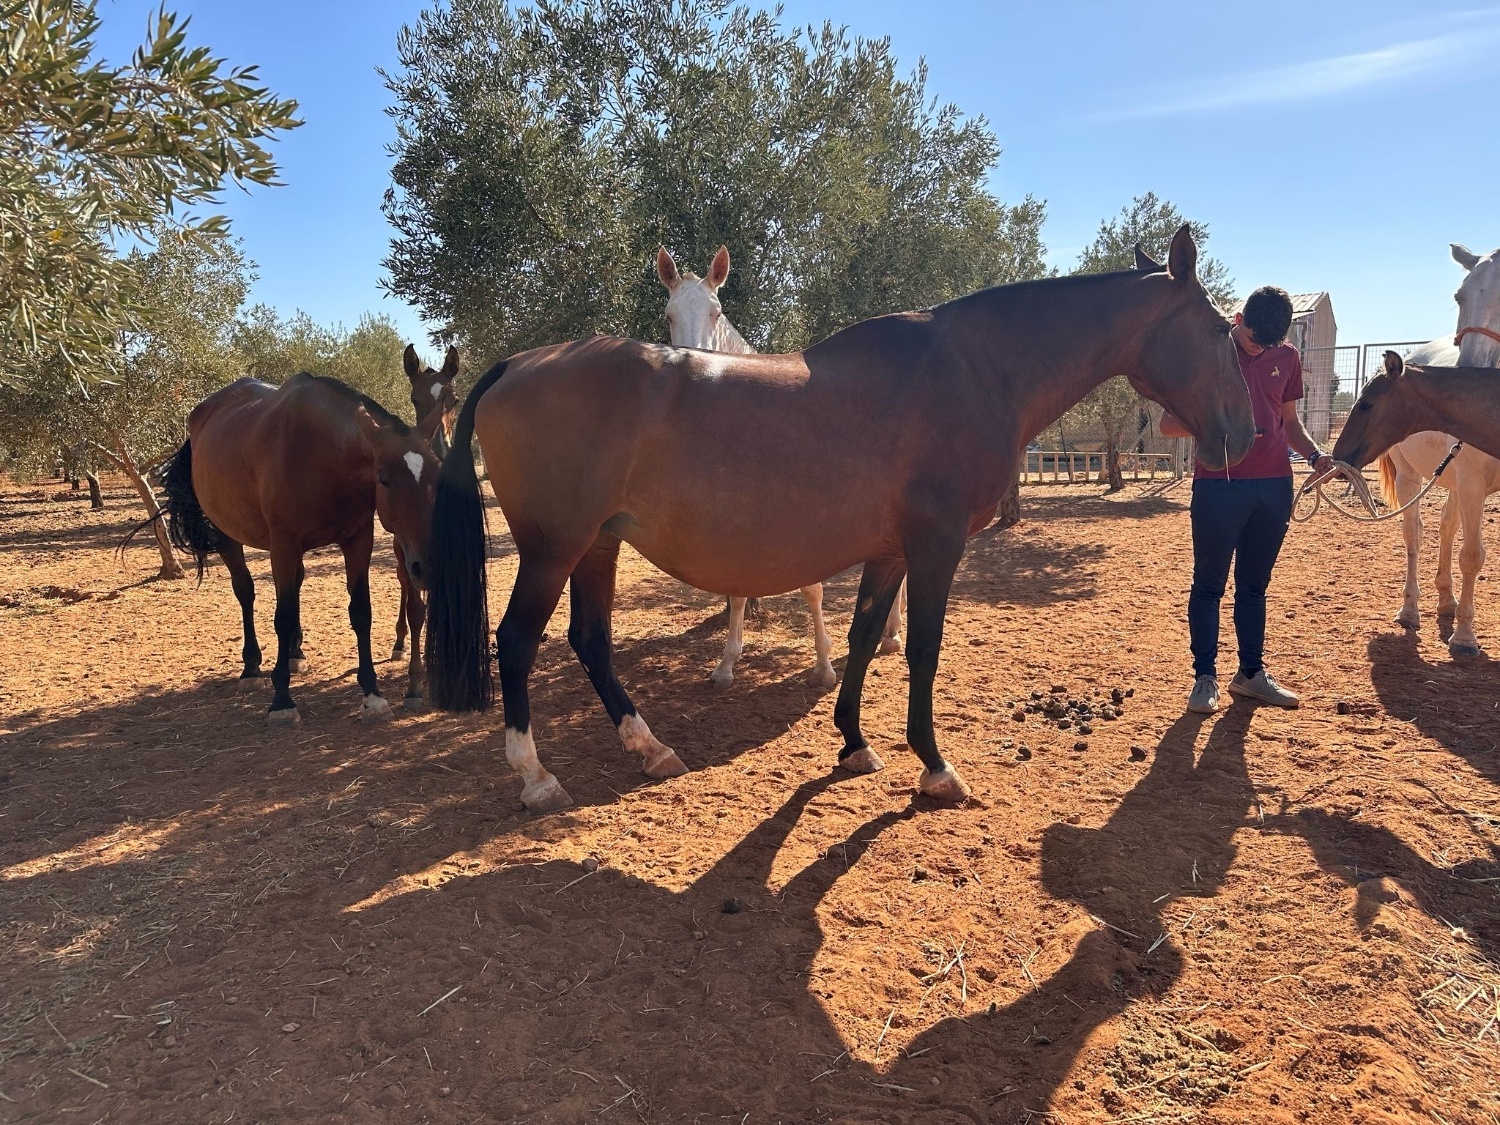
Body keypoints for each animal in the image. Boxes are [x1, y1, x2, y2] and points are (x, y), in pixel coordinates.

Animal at [159, 373, 449, 723]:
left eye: (437, 472)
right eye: (384, 480)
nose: (428, 565)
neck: (321, 452)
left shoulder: (357, 539)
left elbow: (361, 612)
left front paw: (372, 695)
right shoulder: (283, 543)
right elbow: (282, 616)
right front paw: (282, 701)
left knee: (295, 585)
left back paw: (294, 654)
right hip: (228, 535)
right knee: (245, 591)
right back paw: (251, 669)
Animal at [656, 245, 904, 688]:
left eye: (716, 312)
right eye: (669, 314)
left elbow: (812, 590)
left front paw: (824, 667)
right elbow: (737, 591)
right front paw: (726, 665)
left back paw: (892, 636)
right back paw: (890, 632)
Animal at [1374, 244, 1500, 653]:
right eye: (1459, 296)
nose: (1468, 374)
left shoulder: (1470, 484)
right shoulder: (1473, 482)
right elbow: (1473, 555)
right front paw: (1464, 638)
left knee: (1446, 527)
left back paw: (1446, 601)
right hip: (1414, 477)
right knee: (1414, 534)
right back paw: (1410, 611)